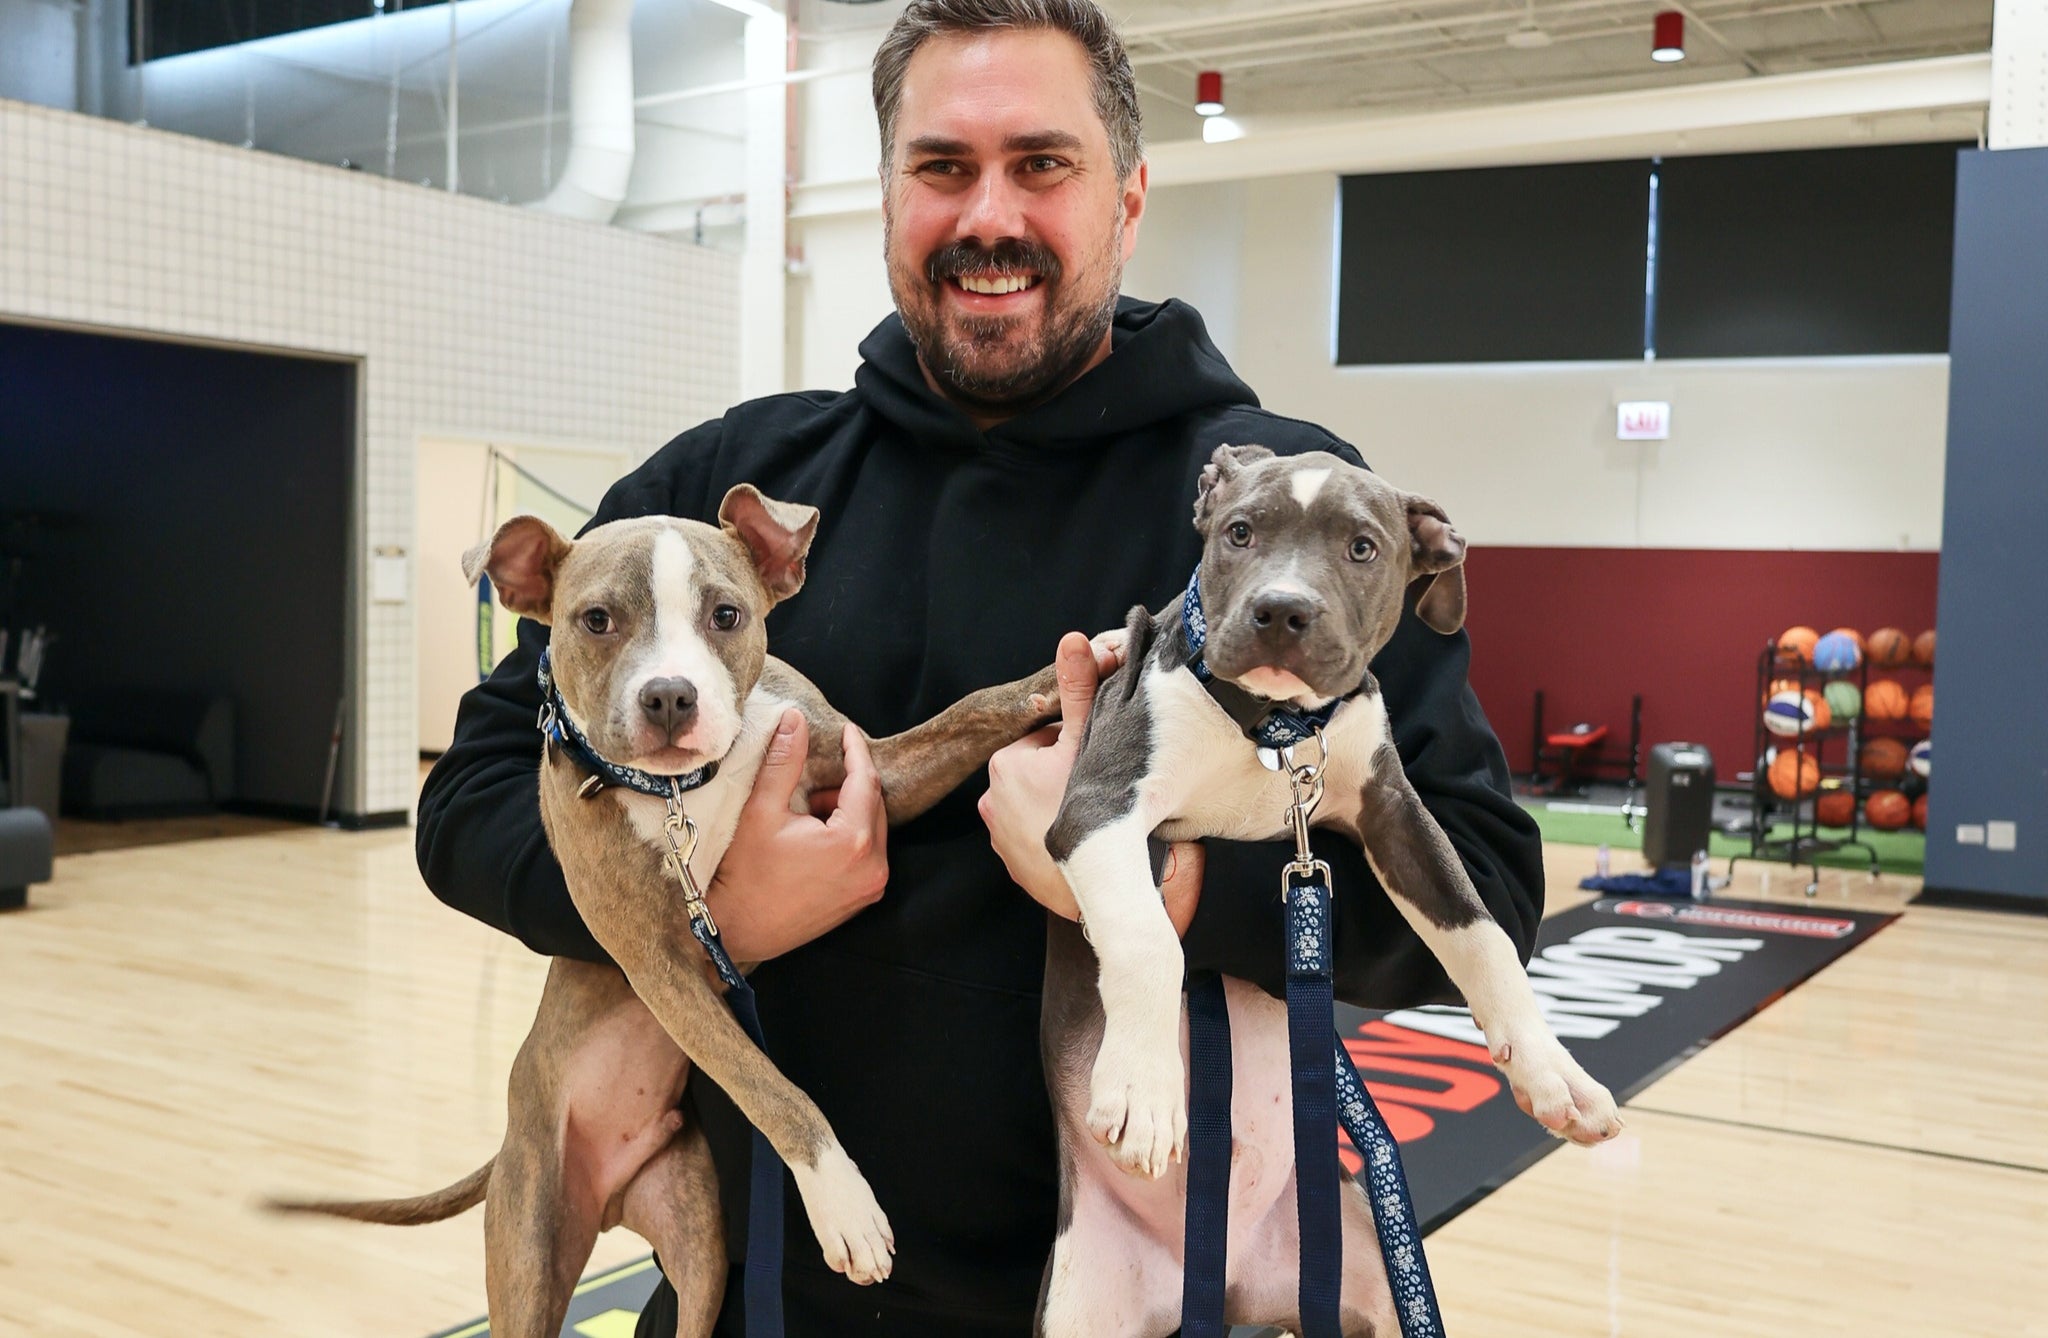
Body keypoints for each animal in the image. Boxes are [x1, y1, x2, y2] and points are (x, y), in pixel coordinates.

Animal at [1040, 446, 1613, 1335]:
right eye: (1240, 532)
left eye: (1363, 548)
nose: (1281, 610)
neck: (1274, 728)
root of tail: (1225, 1282)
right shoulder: (1099, 809)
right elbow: (1149, 941)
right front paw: (1142, 1088)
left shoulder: (1399, 818)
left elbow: (1481, 935)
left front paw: (1553, 1070)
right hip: (1081, 1307)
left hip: (1371, 1280)